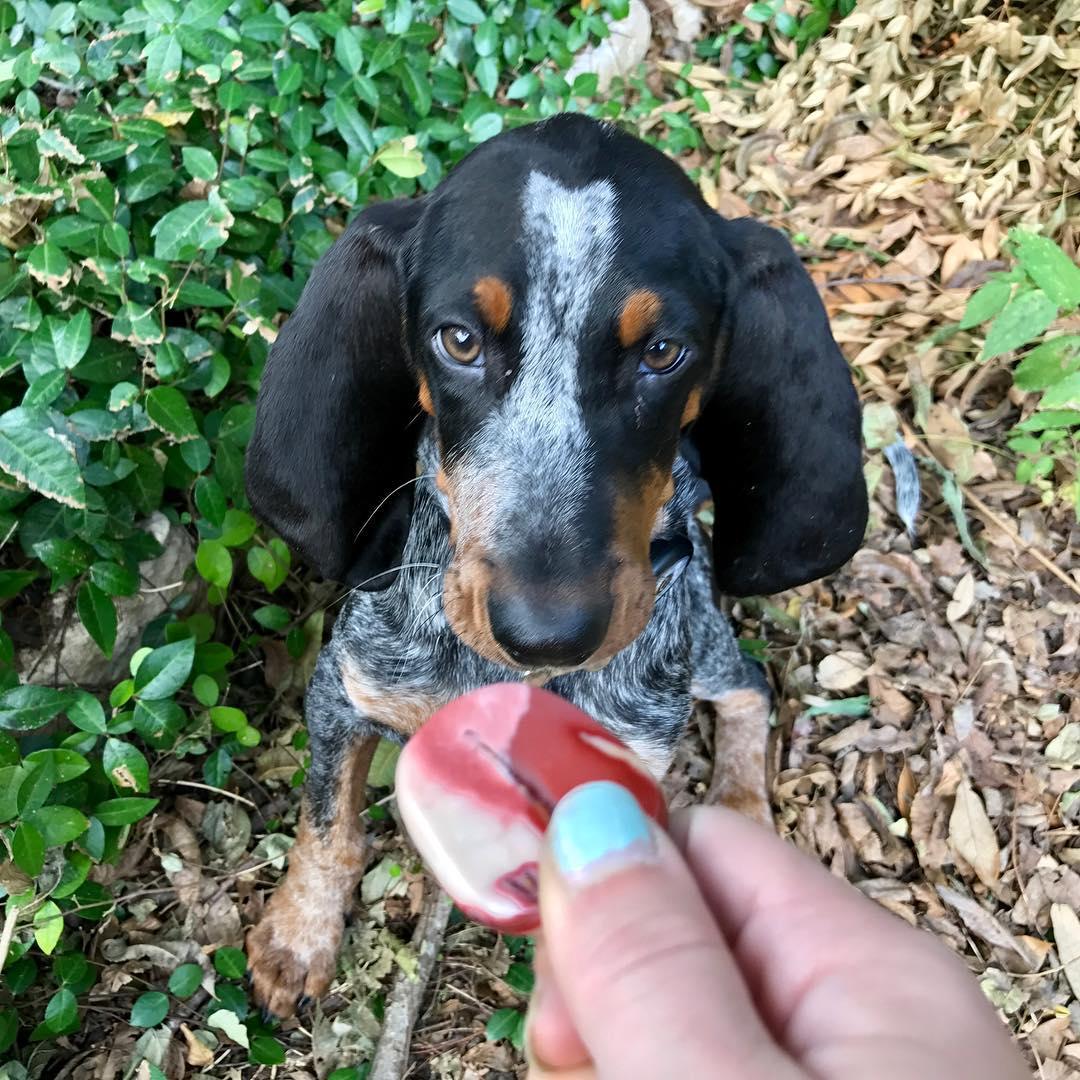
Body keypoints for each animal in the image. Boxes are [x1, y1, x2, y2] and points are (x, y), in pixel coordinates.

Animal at [240, 113, 864, 1015]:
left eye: (664, 352)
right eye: (458, 341)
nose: (549, 635)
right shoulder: (343, 692)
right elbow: (329, 828)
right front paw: (300, 935)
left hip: (702, 648)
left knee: (750, 682)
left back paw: (744, 807)